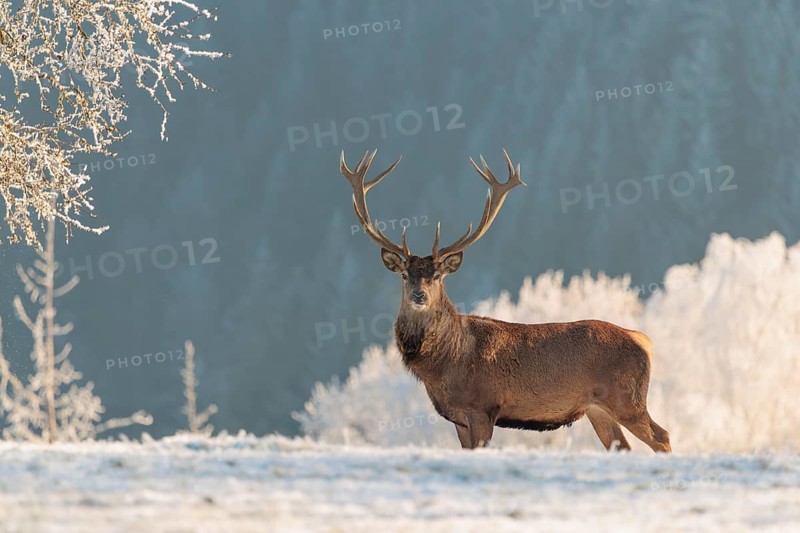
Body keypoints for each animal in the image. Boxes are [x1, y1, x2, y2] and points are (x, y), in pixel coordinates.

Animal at [338, 149, 671, 453]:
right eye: (405, 274)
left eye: (437, 276)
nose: (419, 295)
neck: (446, 364)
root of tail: (643, 341)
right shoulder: (459, 418)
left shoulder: (483, 407)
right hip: (597, 408)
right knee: (623, 446)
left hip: (627, 398)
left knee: (662, 436)